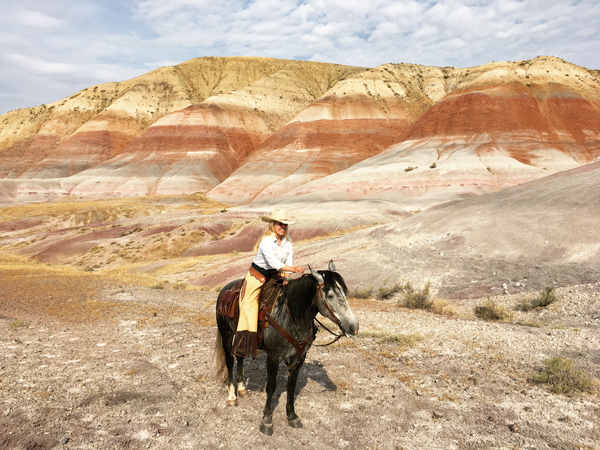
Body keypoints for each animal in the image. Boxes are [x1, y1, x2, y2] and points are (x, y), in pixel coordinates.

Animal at [214, 262, 358, 434]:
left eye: (344, 292)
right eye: (330, 296)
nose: (353, 327)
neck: (291, 316)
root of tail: (224, 289)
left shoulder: (299, 357)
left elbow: (291, 385)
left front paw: (292, 416)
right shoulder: (273, 357)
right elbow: (271, 386)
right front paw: (267, 421)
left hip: (243, 335)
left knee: (240, 356)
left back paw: (242, 389)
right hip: (227, 335)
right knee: (230, 361)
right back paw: (232, 397)